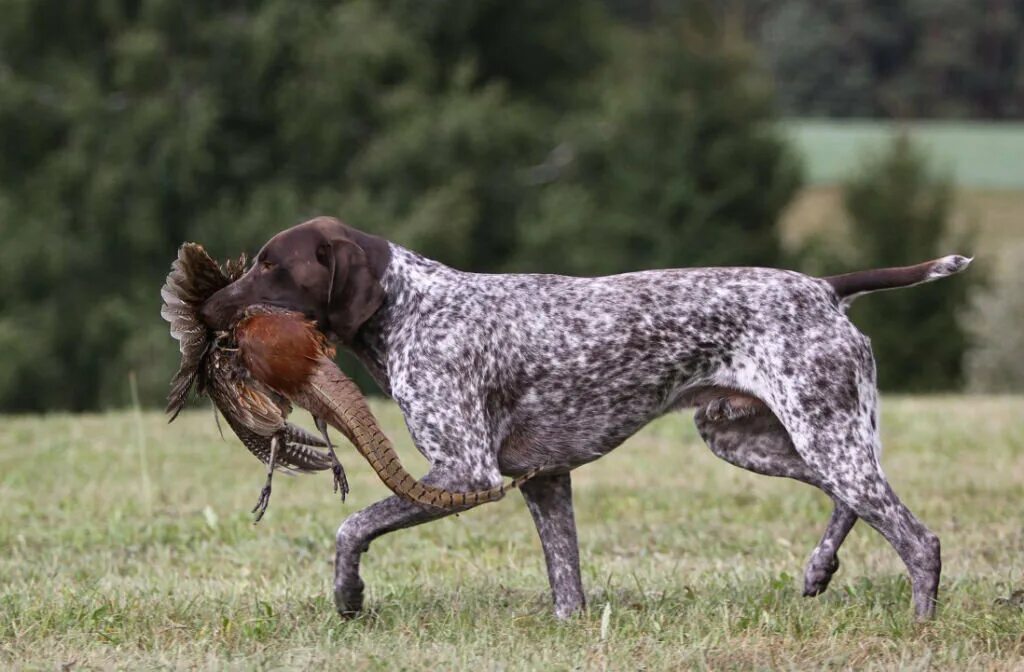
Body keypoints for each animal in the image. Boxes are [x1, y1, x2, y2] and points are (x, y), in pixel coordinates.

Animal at [197, 216, 966, 618]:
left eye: (271, 266)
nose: (204, 307)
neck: (410, 307)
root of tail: (825, 288)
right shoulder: (543, 478)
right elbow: (566, 579)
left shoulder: (465, 472)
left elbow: (352, 526)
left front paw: (349, 594)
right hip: (755, 439)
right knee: (852, 501)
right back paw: (817, 570)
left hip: (821, 433)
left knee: (916, 539)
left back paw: (918, 623)